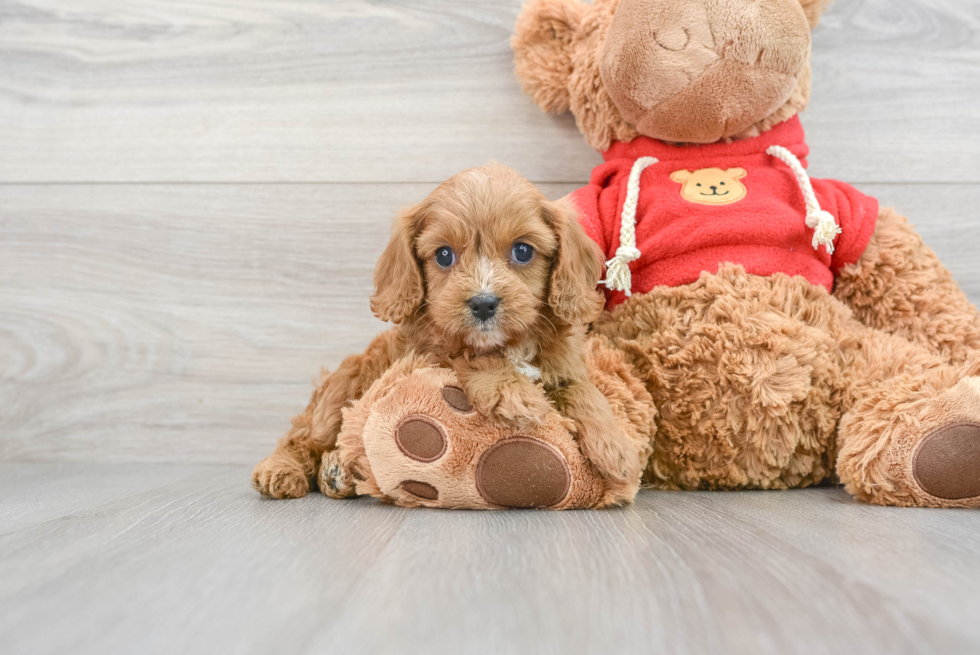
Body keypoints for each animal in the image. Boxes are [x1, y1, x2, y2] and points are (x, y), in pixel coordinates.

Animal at [249, 164, 640, 502]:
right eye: (444, 256)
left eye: (523, 250)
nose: (483, 303)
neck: (509, 344)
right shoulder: (425, 354)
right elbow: (468, 354)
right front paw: (511, 391)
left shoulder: (565, 368)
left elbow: (583, 391)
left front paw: (616, 447)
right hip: (339, 394)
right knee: (303, 435)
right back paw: (281, 469)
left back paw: (338, 473)